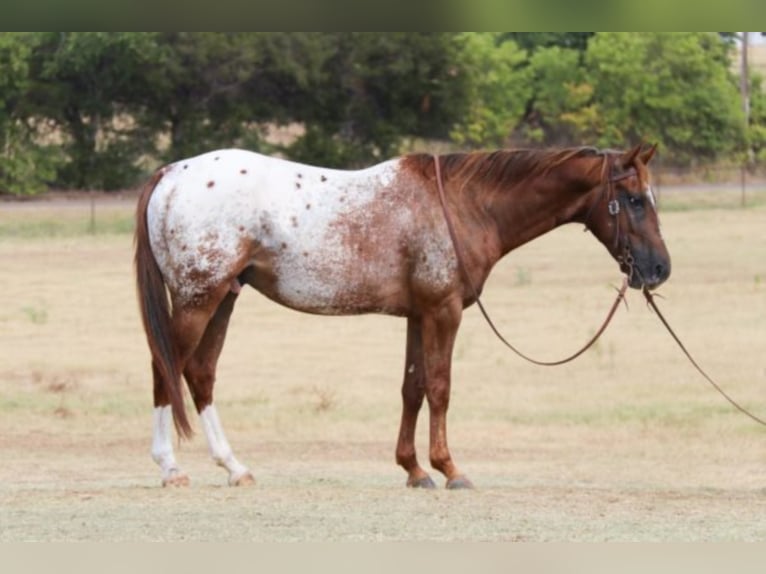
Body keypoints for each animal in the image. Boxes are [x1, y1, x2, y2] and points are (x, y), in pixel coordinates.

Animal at [136, 144, 672, 490]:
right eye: (634, 200)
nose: (659, 269)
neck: (462, 205)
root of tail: (172, 172)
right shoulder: (443, 311)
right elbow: (439, 386)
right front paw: (450, 470)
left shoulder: (419, 315)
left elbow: (412, 387)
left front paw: (414, 470)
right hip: (197, 298)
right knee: (166, 369)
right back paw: (170, 468)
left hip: (223, 297)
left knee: (200, 373)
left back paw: (234, 466)